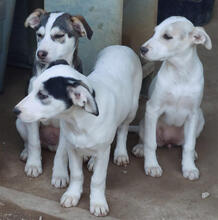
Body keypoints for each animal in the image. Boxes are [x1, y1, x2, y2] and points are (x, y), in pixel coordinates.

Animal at [14, 45, 143, 216]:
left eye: (42, 95)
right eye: (32, 90)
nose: (15, 110)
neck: (80, 121)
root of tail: (121, 46)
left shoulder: (103, 151)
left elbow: (97, 179)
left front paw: (98, 203)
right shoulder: (71, 147)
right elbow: (76, 174)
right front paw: (72, 195)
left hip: (132, 109)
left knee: (123, 129)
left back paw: (119, 153)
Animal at [132, 15, 212, 180]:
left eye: (167, 36)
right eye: (154, 32)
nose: (142, 49)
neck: (180, 73)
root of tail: (168, 141)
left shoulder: (193, 114)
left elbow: (189, 146)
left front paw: (189, 168)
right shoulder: (153, 109)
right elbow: (151, 143)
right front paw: (152, 165)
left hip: (200, 118)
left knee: (185, 143)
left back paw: (193, 155)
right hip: (145, 121)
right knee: (146, 138)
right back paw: (140, 148)